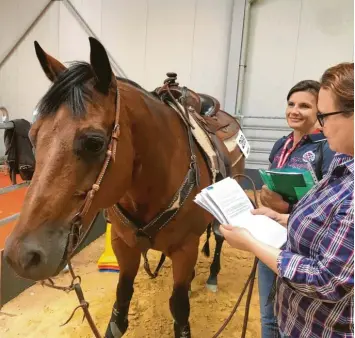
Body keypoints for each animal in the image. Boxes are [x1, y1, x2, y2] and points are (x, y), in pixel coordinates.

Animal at [3, 37, 245, 338]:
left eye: (94, 142)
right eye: (34, 136)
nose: (20, 256)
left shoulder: (185, 249)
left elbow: (179, 310)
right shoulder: (123, 246)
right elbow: (120, 309)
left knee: (220, 238)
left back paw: (212, 275)